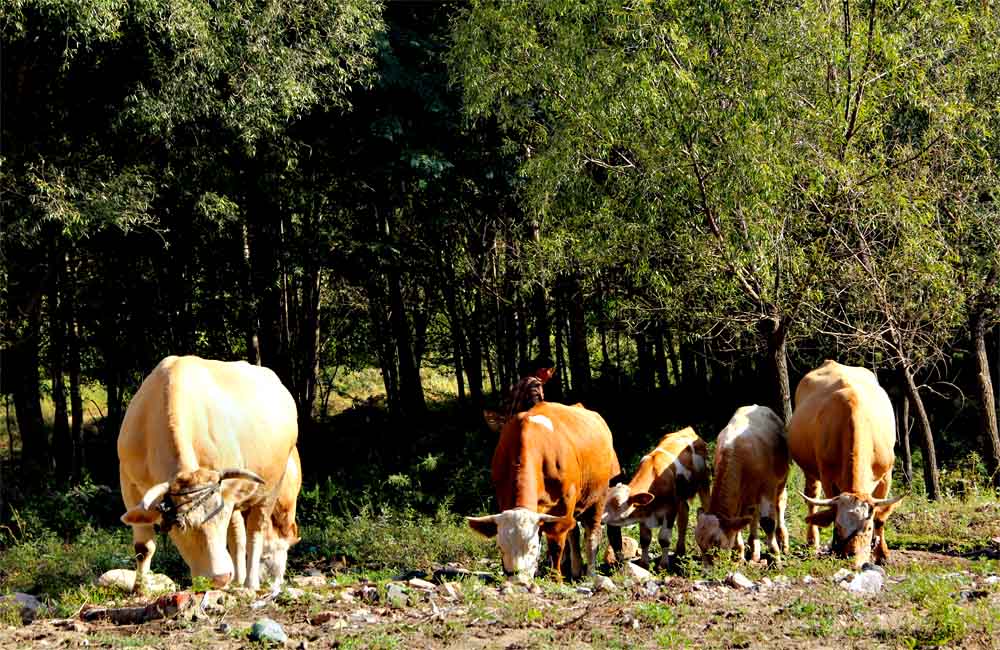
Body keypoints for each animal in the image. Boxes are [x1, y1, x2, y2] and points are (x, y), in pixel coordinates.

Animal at [117, 354, 296, 592]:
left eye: (220, 517)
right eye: (180, 525)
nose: (220, 577)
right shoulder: (128, 483)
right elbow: (143, 547)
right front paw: (140, 590)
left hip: (271, 489)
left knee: (254, 533)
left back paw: (250, 583)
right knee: (237, 537)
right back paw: (238, 581)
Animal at [466, 402, 620, 580]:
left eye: (533, 547)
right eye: (500, 547)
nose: (517, 579)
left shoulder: (564, 504)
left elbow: (556, 544)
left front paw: (555, 578)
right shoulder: (504, 496)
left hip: (599, 496)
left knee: (592, 535)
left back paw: (590, 574)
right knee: (574, 532)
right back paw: (575, 570)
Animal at [600, 426, 712, 568]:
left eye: (618, 504)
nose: (600, 519)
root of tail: (688, 430)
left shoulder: (670, 510)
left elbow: (664, 538)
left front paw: (663, 565)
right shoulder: (643, 513)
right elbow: (645, 539)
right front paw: (644, 563)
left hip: (704, 482)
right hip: (681, 497)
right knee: (684, 515)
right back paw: (680, 551)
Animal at [696, 402, 788, 560]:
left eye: (717, 545)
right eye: (700, 546)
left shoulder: (767, 486)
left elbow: (768, 522)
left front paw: (776, 556)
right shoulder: (740, 495)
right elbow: (738, 523)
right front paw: (739, 555)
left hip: (781, 480)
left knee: (780, 504)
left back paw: (783, 540)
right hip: (750, 495)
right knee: (753, 514)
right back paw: (755, 552)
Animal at [788, 360, 908, 568]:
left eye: (868, 528)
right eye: (838, 527)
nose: (852, 557)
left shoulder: (887, 475)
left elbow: (881, 517)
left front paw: (882, 554)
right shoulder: (827, 475)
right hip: (810, 470)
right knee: (812, 498)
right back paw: (812, 542)